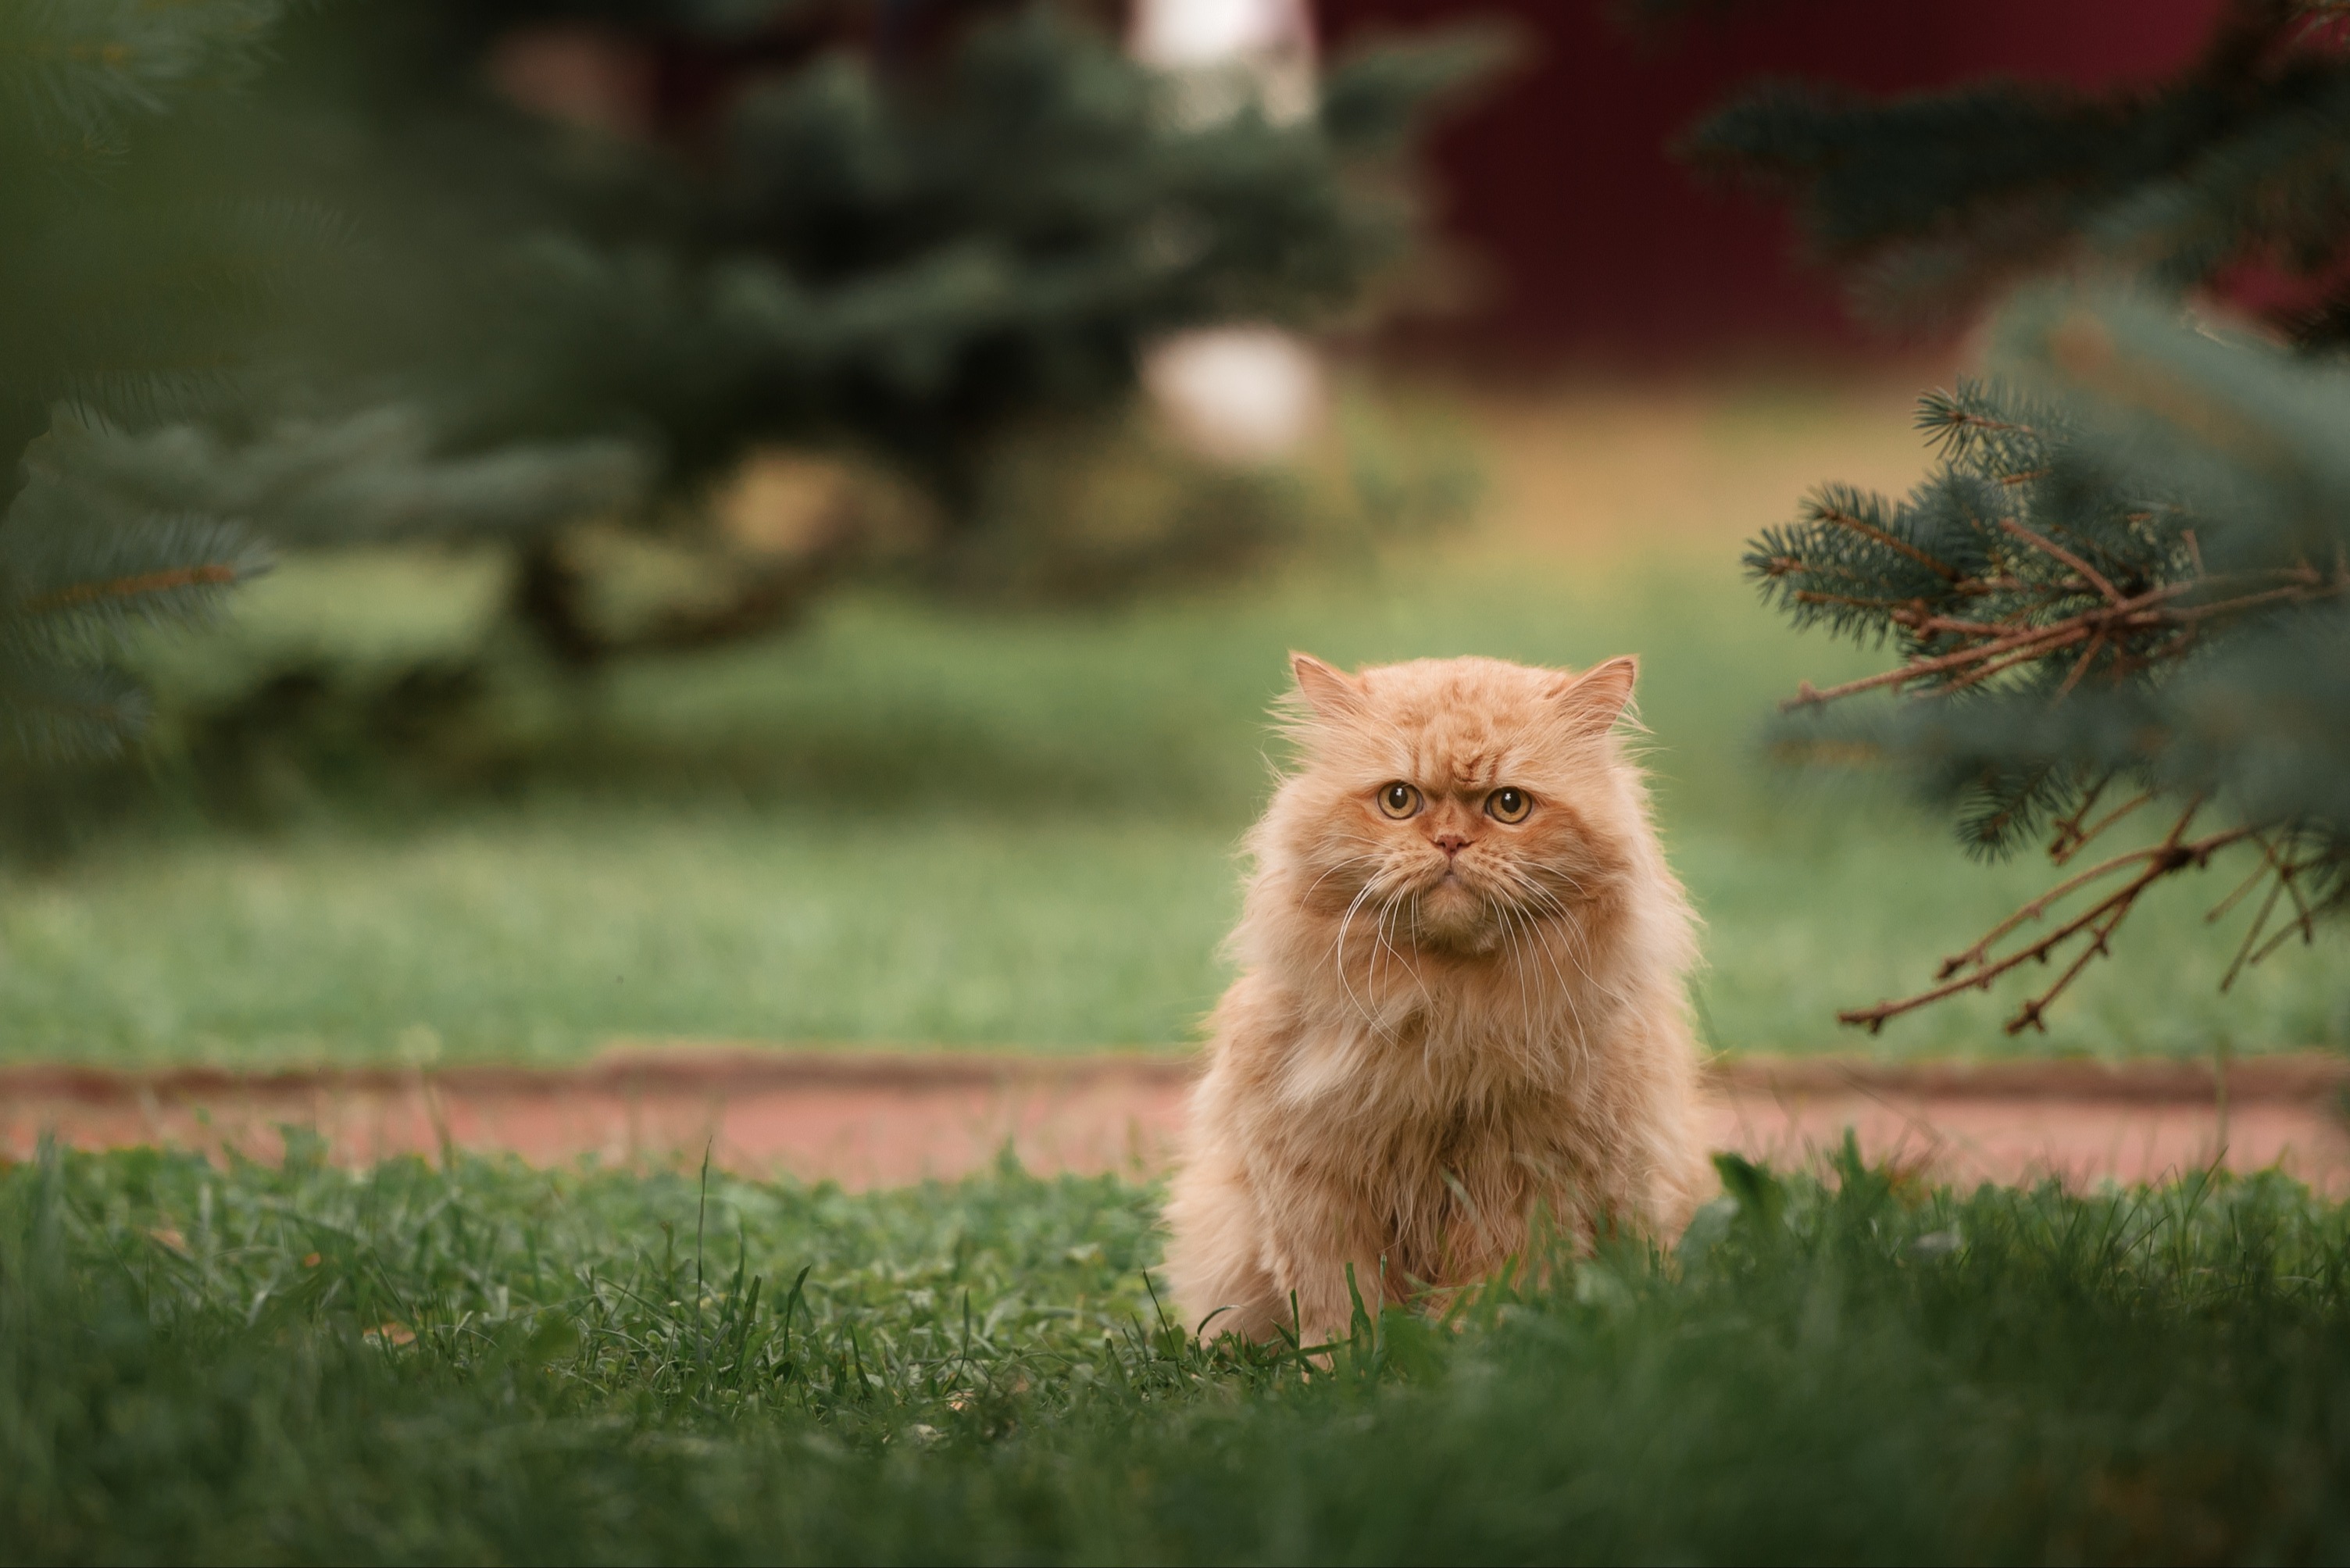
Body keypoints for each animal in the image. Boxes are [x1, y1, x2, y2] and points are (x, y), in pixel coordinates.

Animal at [1165, 648, 1720, 1335]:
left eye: (1509, 805)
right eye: (1399, 799)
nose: (1451, 841)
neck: (1445, 1015)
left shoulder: (1523, 1187)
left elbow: (1483, 1302)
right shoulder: (1316, 1187)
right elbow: (1341, 1310)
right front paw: (1349, 1361)